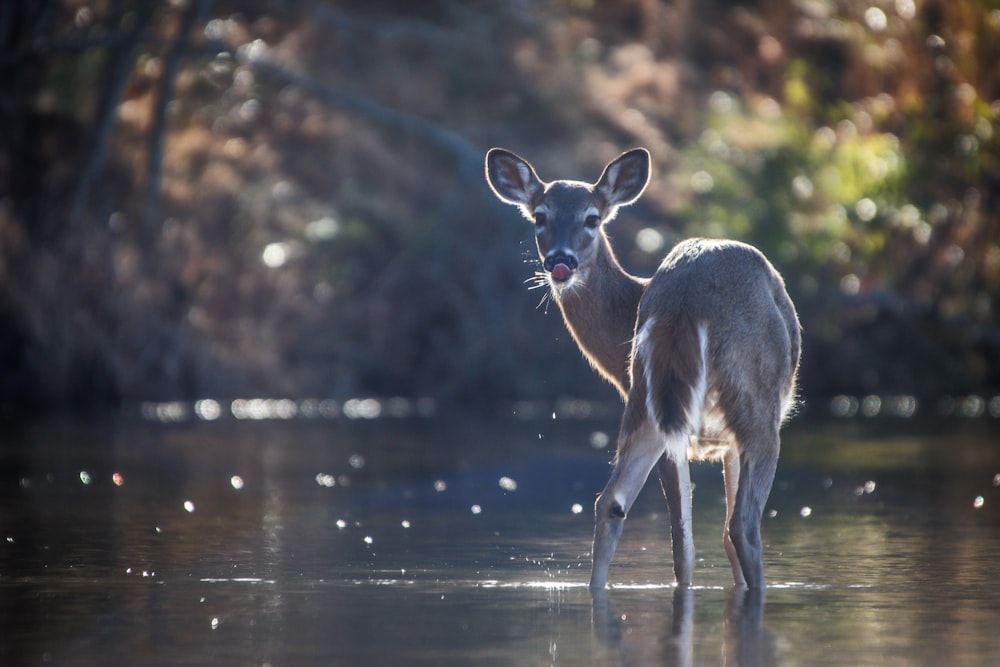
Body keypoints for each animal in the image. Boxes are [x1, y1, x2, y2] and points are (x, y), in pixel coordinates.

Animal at [480, 146, 800, 588]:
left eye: (592, 218)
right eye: (540, 216)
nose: (560, 262)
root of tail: (683, 304)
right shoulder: (725, 439)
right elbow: (724, 534)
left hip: (648, 404)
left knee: (617, 506)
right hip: (754, 405)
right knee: (740, 526)